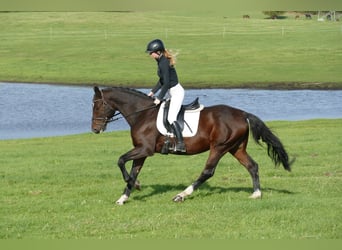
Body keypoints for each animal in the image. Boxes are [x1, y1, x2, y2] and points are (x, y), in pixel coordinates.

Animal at [91, 86, 294, 205]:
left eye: (97, 105)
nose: (94, 129)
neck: (142, 113)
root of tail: (243, 114)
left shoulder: (145, 150)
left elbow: (120, 160)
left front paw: (137, 186)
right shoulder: (141, 151)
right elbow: (132, 171)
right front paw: (124, 196)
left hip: (219, 147)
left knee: (208, 172)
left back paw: (181, 195)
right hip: (235, 148)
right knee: (252, 166)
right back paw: (256, 194)